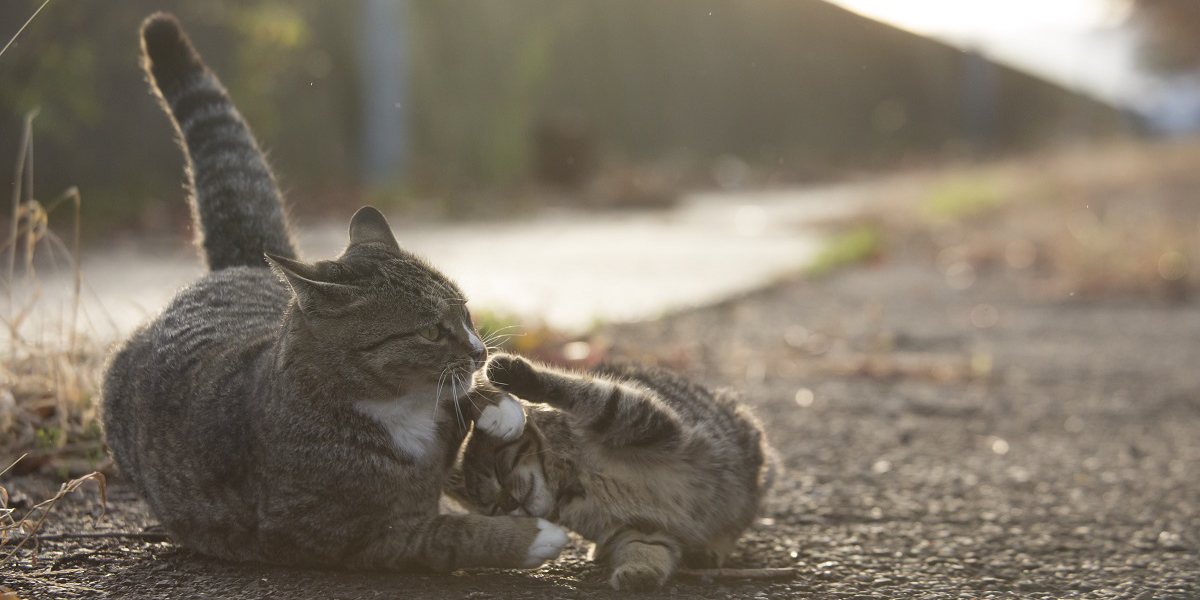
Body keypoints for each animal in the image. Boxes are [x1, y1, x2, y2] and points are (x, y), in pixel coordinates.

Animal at [99, 11, 566, 568]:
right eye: (431, 332)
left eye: (467, 314)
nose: (479, 352)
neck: (399, 410)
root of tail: (237, 267)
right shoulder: (360, 538)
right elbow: (451, 537)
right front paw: (535, 535)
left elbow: (463, 397)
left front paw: (501, 408)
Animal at [451, 350, 777, 590]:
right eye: (493, 510)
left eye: (498, 465)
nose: (508, 502)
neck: (574, 484)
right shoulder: (640, 527)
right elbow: (646, 548)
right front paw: (639, 573)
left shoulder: (647, 419)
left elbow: (592, 395)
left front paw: (514, 374)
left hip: (756, 470)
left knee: (737, 522)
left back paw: (712, 547)